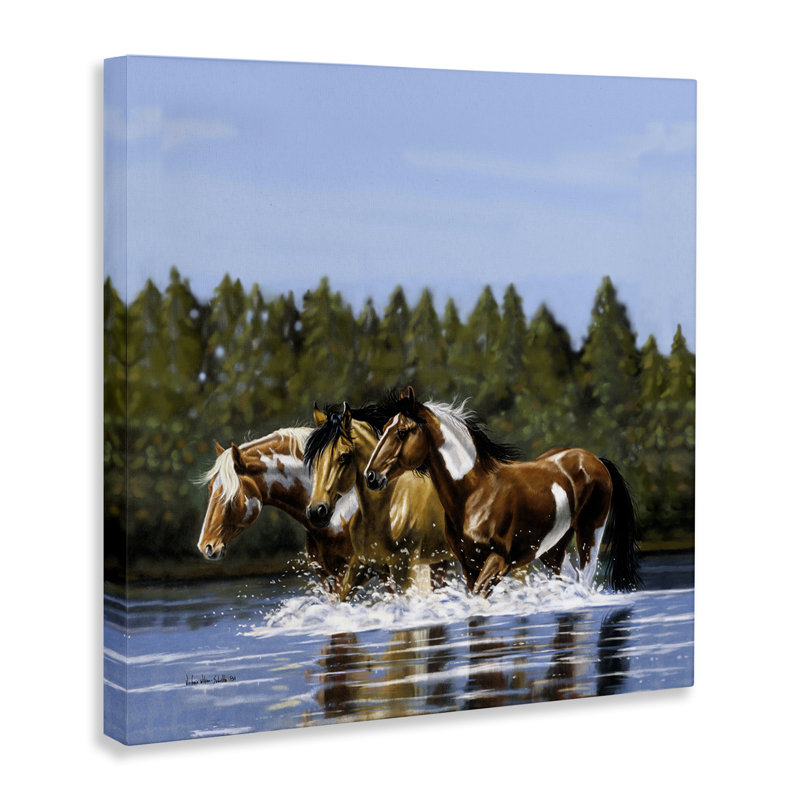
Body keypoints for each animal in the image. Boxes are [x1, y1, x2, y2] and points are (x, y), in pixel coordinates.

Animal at [364, 387, 640, 596]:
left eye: (401, 432)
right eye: (385, 428)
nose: (371, 476)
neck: (475, 492)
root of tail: (594, 460)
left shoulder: (498, 561)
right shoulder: (469, 566)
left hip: (589, 534)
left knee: (585, 579)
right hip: (552, 549)